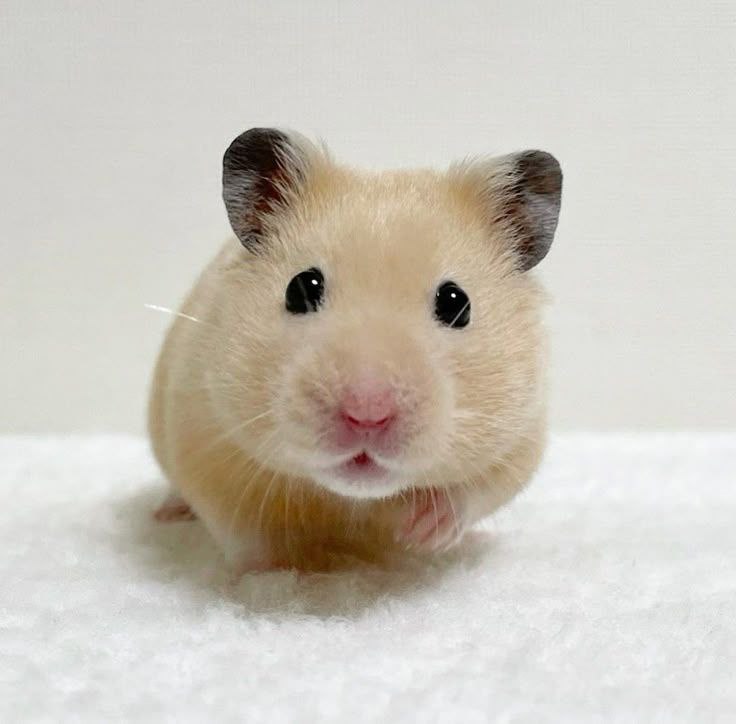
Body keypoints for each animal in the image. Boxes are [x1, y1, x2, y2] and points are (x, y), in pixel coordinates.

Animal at [148, 128, 562, 573]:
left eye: (456, 303)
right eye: (301, 287)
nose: (367, 414)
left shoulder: (520, 439)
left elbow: (475, 493)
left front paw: (421, 534)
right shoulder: (204, 438)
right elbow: (244, 535)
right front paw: (277, 575)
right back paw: (167, 513)